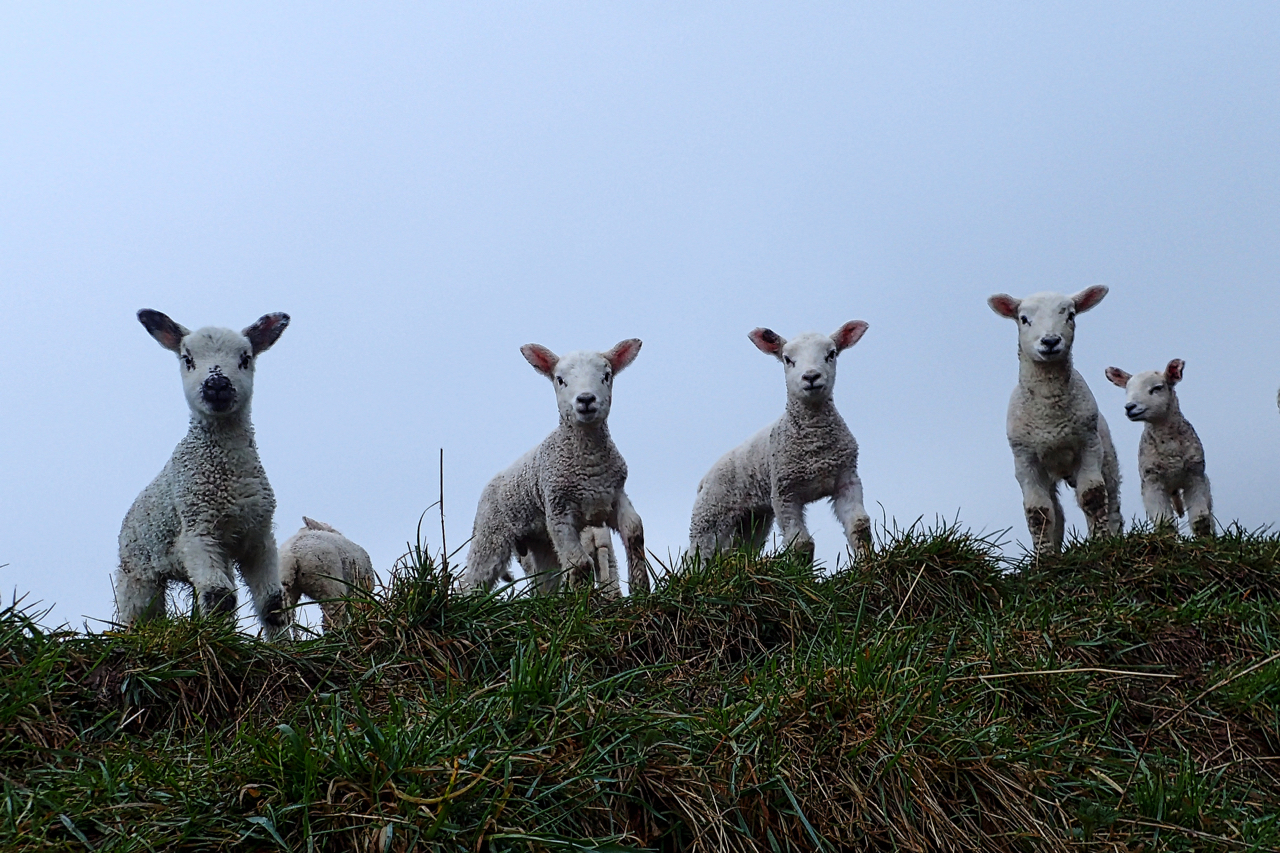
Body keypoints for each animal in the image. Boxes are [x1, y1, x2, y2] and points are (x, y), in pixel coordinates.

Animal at [114, 308, 290, 635]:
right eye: (188, 359)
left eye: (245, 358)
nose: (217, 384)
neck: (227, 475)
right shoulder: (198, 530)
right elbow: (219, 597)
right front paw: (218, 641)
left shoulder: (259, 535)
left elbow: (272, 603)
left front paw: (287, 643)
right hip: (137, 571)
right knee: (142, 617)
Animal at [458, 338, 650, 591]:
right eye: (560, 379)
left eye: (606, 375)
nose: (586, 399)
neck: (589, 464)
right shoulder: (558, 513)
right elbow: (581, 563)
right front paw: (584, 599)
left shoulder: (614, 496)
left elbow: (634, 533)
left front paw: (641, 588)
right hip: (491, 534)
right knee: (473, 580)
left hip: (541, 541)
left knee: (545, 584)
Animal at [686, 317, 875, 558]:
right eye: (787, 359)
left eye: (831, 354)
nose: (811, 376)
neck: (815, 444)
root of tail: (704, 479)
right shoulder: (784, 493)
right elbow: (802, 544)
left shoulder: (847, 480)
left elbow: (859, 526)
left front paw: (868, 562)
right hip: (709, 518)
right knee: (698, 556)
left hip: (754, 519)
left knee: (742, 551)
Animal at [988, 285, 1121, 550]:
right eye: (1024, 319)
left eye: (1070, 315)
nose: (1050, 341)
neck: (1049, 415)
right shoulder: (1025, 459)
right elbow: (1038, 513)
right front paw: (1044, 555)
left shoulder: (1089, 445)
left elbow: (1092, 497)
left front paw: (1100, 544)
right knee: (1056, 513)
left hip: (1108, 456)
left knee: (1112, 503)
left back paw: (1115, 537)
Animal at [1105, 356, 1213, 532]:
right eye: (1127, 391)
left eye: (1157, 388)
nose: (1130, 407)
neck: (1169, 446)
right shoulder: (1151, 482)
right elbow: (1165, 523)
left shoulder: (1195, 476)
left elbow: (1201, 520)